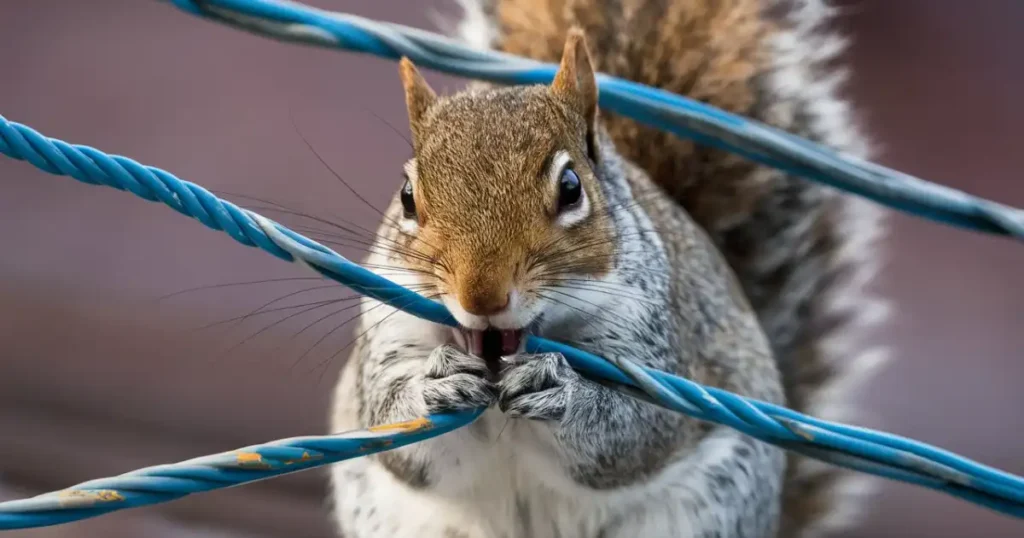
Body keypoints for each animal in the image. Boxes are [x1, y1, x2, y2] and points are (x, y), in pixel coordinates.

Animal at [328, 0, 887, 537]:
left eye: (571, 188)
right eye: (407, 197)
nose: (482, 296)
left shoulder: (656, 337)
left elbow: (634, 433)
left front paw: (563, 392)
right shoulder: (389, 331)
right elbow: (394, 433)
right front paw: (435, 383)